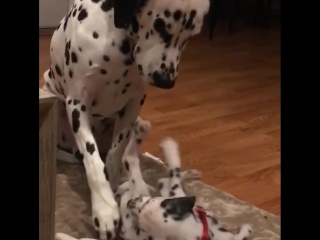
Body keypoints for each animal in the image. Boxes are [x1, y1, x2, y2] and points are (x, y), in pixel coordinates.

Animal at [42, 0, 210, 238]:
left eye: (191, 35)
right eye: (160, 25)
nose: (166, 81)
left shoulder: (134, 102)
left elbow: (115, 156)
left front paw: (113, 191)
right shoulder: (77, 103)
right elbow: (94, 163)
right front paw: (104, 210)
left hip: (137, 121)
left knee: (142, 163)